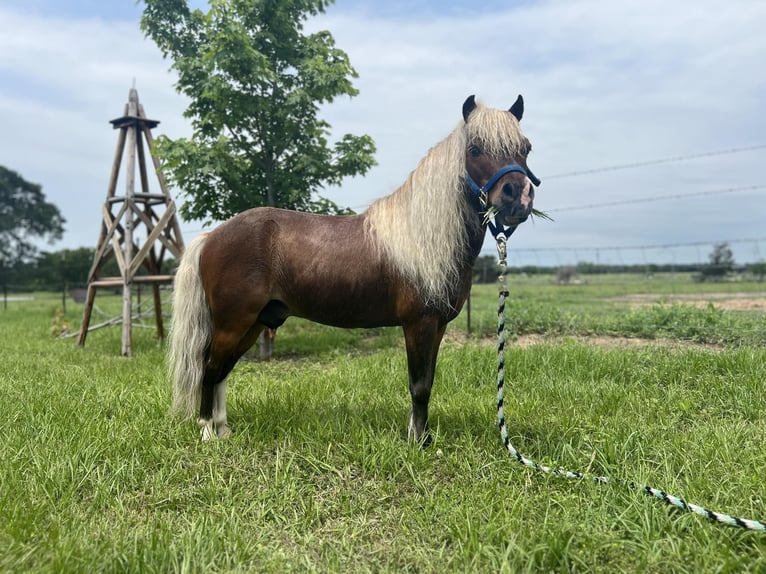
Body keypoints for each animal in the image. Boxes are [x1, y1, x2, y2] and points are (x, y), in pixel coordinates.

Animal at [170, 94, 540, 446]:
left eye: (526, 148)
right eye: (474, 149)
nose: (518, 196)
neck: (423, 236)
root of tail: (213, 235)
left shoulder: (437, 327)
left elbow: (428, 381)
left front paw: (420, 435)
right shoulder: (418, 323)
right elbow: (419, 384)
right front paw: (418, 443)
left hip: (254, 323)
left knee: (222, 370)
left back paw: (223, 429)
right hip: (233, 322)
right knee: (211, 368)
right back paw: (207, 432)